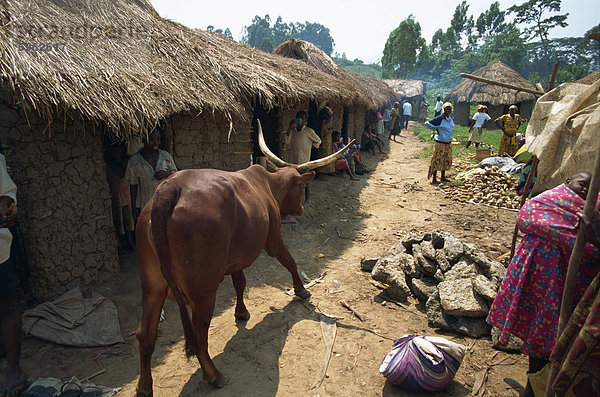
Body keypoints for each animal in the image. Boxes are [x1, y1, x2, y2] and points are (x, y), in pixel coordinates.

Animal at [134, 121, 354, 396]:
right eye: (302, 187)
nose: (302, 207)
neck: (267, 185)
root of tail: (170, 188)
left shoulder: (235, 259)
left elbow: (240, 283)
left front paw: (241, 312)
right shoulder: (273, 240)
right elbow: (290, 261)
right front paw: (301, 290)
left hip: (152, 287)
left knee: (145, 335)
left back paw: (144, 387)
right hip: (203, 291)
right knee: (199, 334)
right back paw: (214, 376)